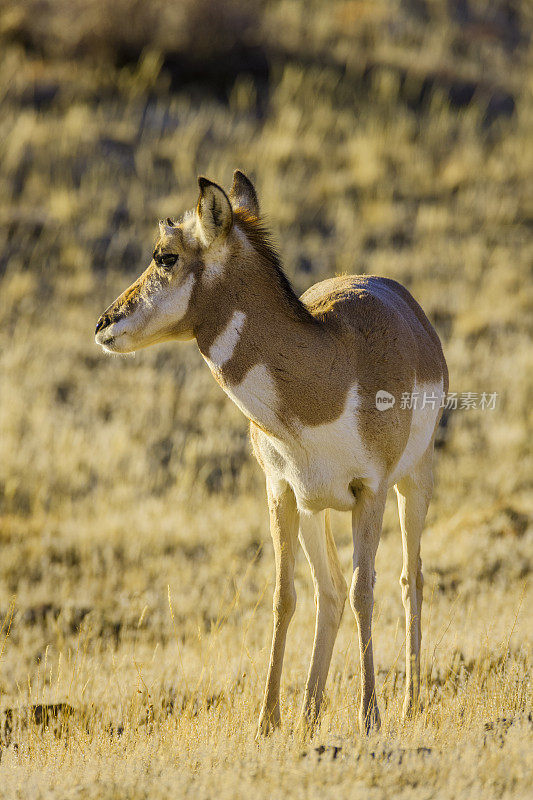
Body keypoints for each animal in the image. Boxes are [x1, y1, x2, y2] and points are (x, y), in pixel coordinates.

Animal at [94, 173, 444, 736]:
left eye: (165, 255)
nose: (104, 324)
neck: (325, 375)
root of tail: (400, 298)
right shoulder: (279, 492)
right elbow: (284, 596)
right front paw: (267, 720)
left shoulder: (368, 493)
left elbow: (364, 591)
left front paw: (370, 717)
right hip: (314, 508)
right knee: (327, 591)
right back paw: (308, 713)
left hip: (413, 485)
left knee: (409, 579)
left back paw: (408, 706)